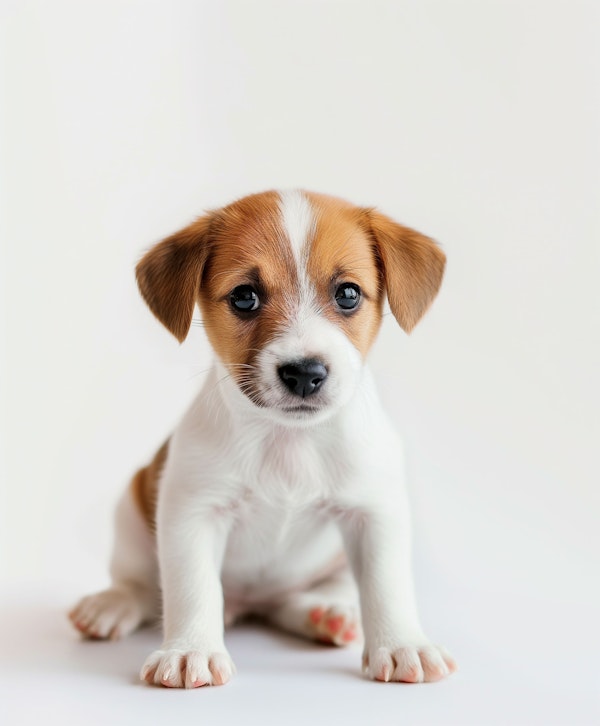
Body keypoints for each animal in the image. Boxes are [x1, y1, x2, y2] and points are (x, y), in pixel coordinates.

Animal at [68, 189, 458, 688]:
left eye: (348, 293)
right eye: (244, 297)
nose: (305, 373)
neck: (288, 440)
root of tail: (250, 604)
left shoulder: (375, 513)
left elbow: (386, 584)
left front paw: (403, 643)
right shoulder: (192, 514)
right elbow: (192, 587)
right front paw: (189, 650)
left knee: (299, 598)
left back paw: (325, 613)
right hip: (131, 509)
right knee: (139, 584)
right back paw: (112, 605)